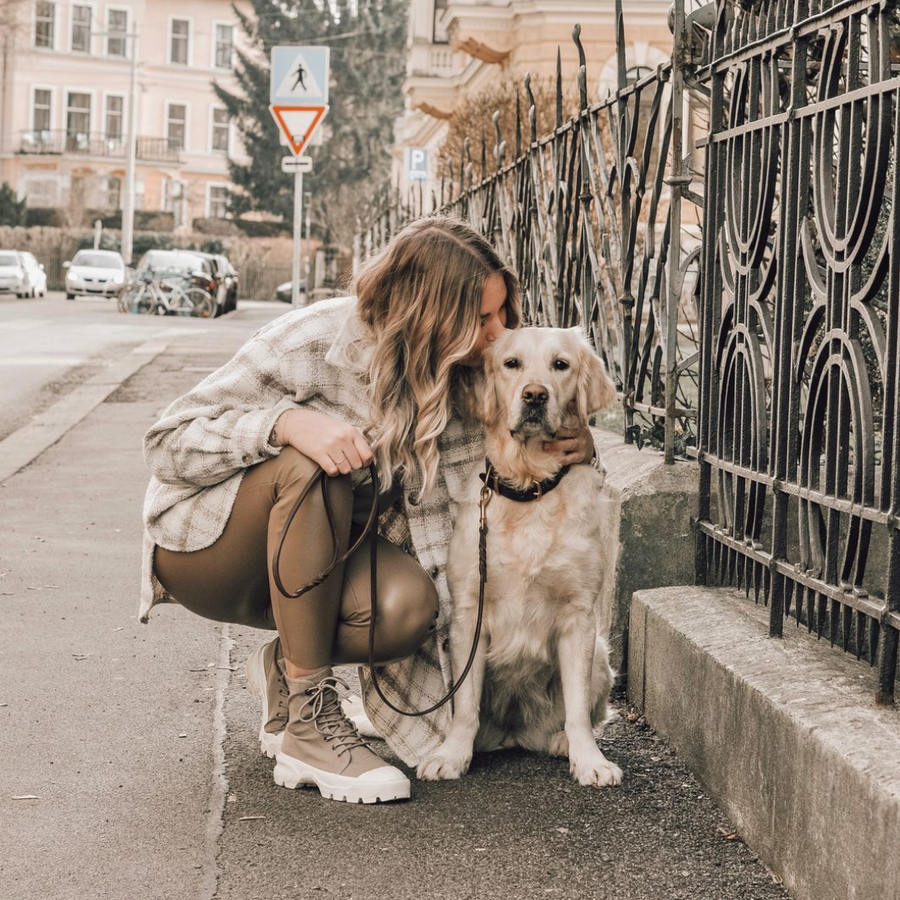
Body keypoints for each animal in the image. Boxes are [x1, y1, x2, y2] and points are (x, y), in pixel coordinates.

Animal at [418, 328, 624, 788]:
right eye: (511, 364)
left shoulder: (579, 616)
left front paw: (590, 761)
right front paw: (451, 755)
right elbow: (465, 707)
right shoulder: (469, 613)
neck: (531, 487)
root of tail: (515, 734)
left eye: (561, 365)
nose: (534, 395)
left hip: (601, 654)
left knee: (581, 714)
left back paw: (563, 742)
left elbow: (578, 710)